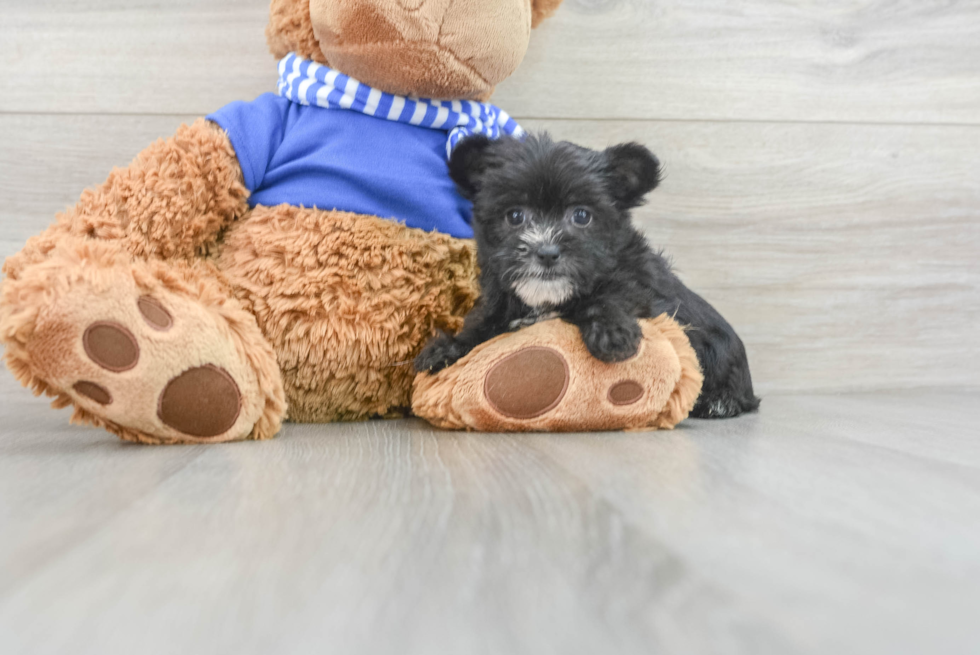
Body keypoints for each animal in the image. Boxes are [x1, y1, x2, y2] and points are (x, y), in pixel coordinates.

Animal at [414, 135, 756, 420]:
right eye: (515, 216)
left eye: (581, 216)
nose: (547, 252)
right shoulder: (500, 302)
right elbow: (481, 324)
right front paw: (447, 348)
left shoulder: (644, 288)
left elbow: (614, 292)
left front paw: (611, 333)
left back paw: (717, 402)